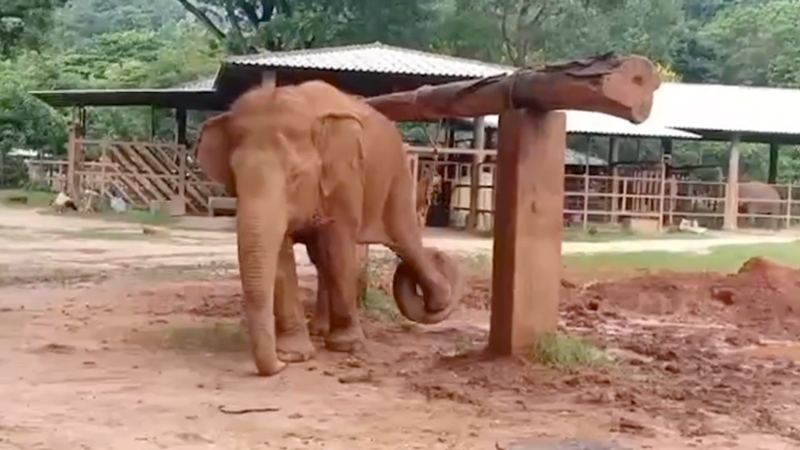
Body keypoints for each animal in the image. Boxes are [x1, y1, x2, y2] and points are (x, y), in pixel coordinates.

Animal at [195, 80, 466, 376]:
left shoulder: (346, 175)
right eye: (234, 178)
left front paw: (346, 347)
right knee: (323, 256)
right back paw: (318, 329)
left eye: (294, 176)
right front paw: (294, 355)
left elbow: (338, 249)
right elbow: (282, 256)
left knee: (402, 239)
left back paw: (438, 301)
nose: (278, 365)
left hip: (396, 176)